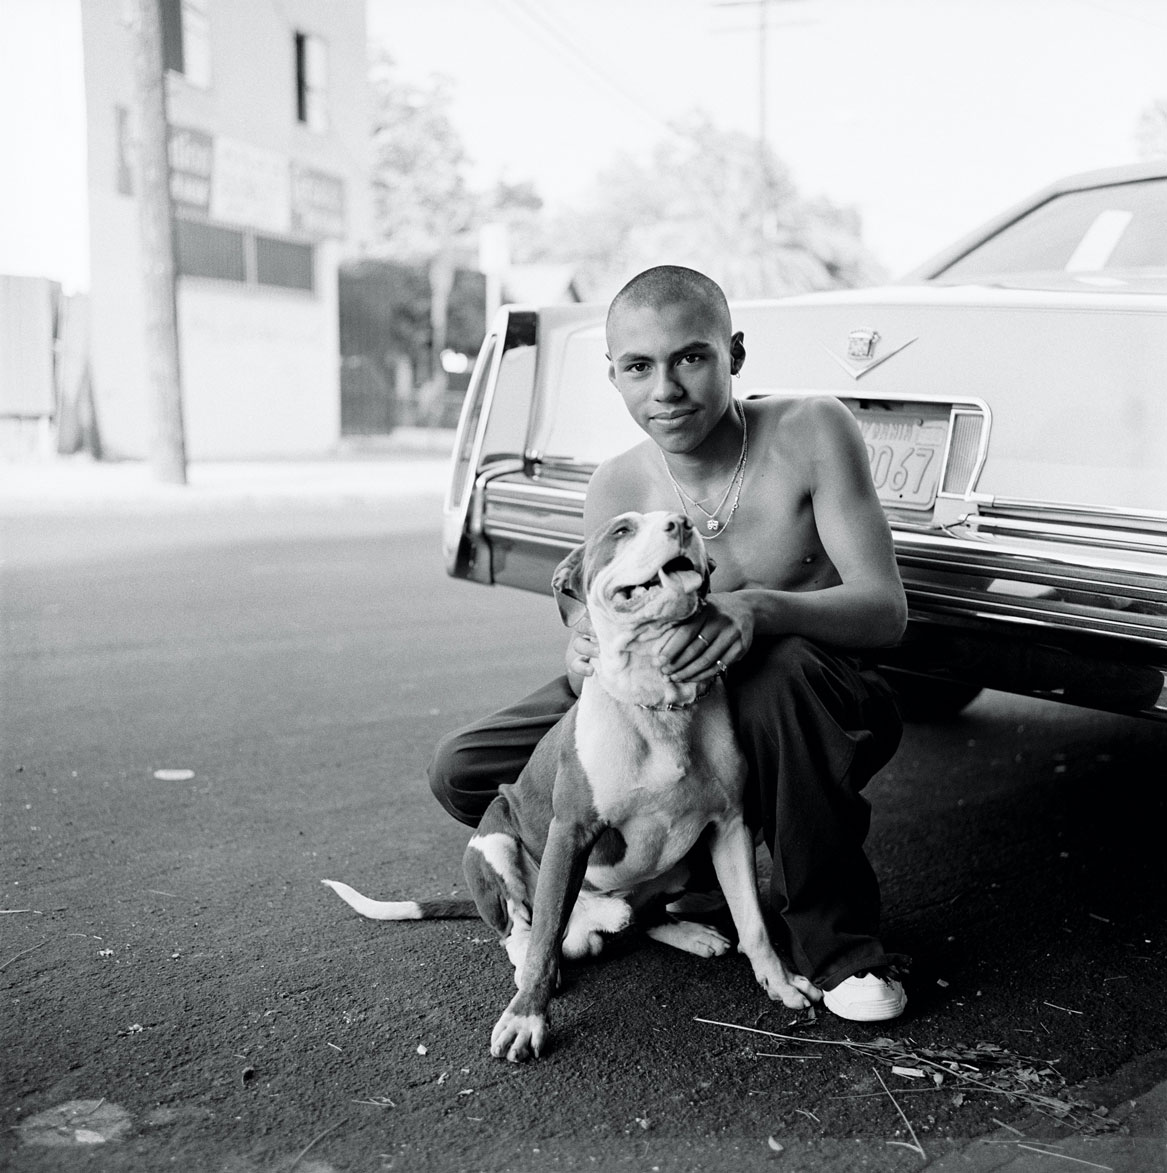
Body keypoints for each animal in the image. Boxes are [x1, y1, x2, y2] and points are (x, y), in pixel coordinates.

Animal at [321, 513, 821, 1065]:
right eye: (622, 530)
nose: (682, 522)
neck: (655, 699)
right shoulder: (571, 831)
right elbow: (544, 939)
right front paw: (526, 1017)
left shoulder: (731, 824)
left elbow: (753, 921)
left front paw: (779, 980)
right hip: (493, 839)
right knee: (526, 926)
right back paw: (576, 930)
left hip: (688, 860)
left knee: (642, 914)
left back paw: (672, 926)